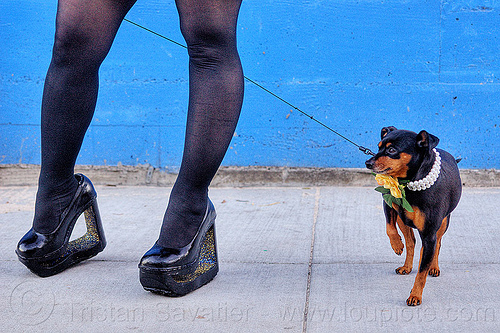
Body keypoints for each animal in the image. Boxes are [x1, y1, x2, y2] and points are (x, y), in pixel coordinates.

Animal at [364, 127, 464, 306]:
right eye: (378, 147)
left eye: (391, 150)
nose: (368, 163)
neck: (408, 184)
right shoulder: (389, 204)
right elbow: (389, 228)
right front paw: (397, 245)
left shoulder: (430, 234)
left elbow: (422, 273)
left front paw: (415, 296)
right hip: (402, 219)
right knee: (411, 242)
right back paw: (407, 265)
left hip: (443, 224)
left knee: (436, 244)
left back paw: (434, 267)